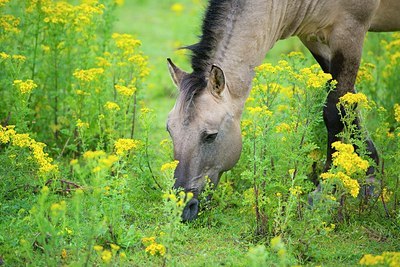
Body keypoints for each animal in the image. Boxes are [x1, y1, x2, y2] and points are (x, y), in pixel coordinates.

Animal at [166, 0, 400, 222]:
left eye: (211, 136)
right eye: (170, 130)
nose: (182, 207)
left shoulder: (349, 32)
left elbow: (337, 112)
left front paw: (326, 191)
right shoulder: (315, 38)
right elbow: (349, 104)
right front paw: (369, 174)